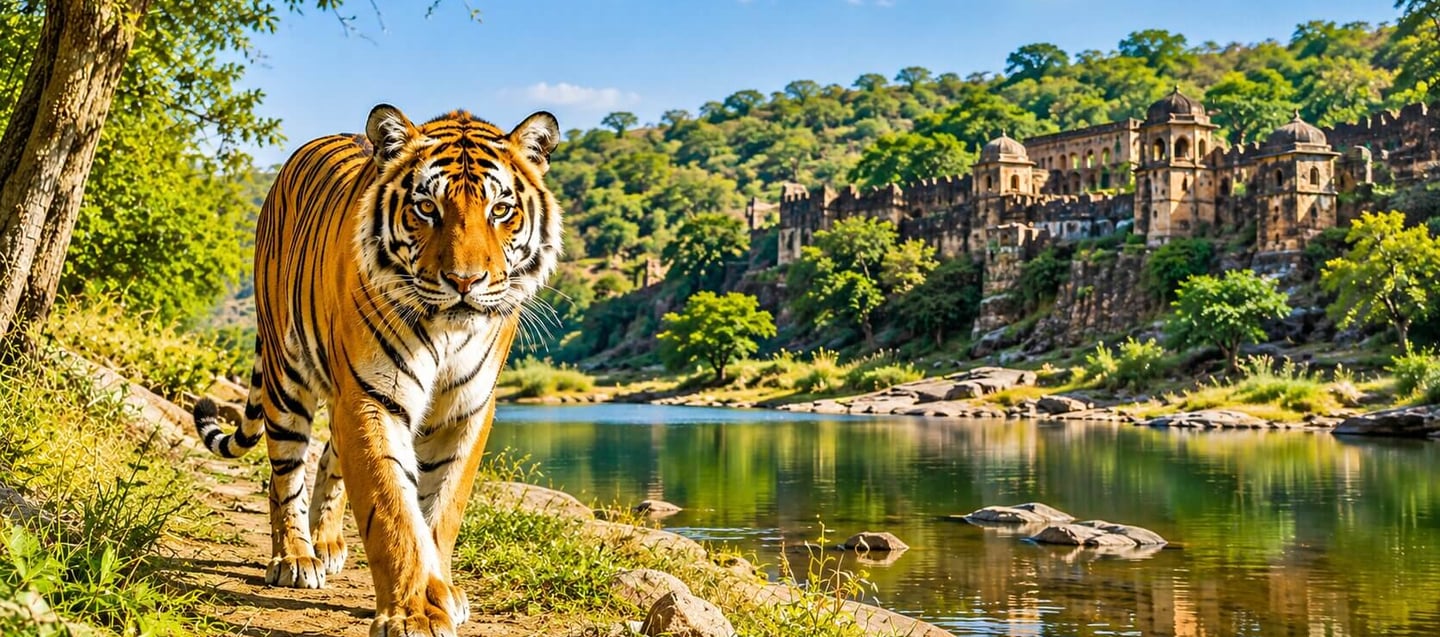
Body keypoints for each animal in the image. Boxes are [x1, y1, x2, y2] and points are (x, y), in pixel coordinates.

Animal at [191, 104, 562, 637]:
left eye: (500, 210)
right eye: (427, 208)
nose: (465, 282)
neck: (449, 332)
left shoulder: (467, 408)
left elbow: (441, 507)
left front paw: (442, 592)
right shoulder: (372, 396)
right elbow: (391, 507)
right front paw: (414, 613)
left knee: (329, 456)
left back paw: (326, 543)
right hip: (286, 376)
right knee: (284, 473)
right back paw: (295, 556)